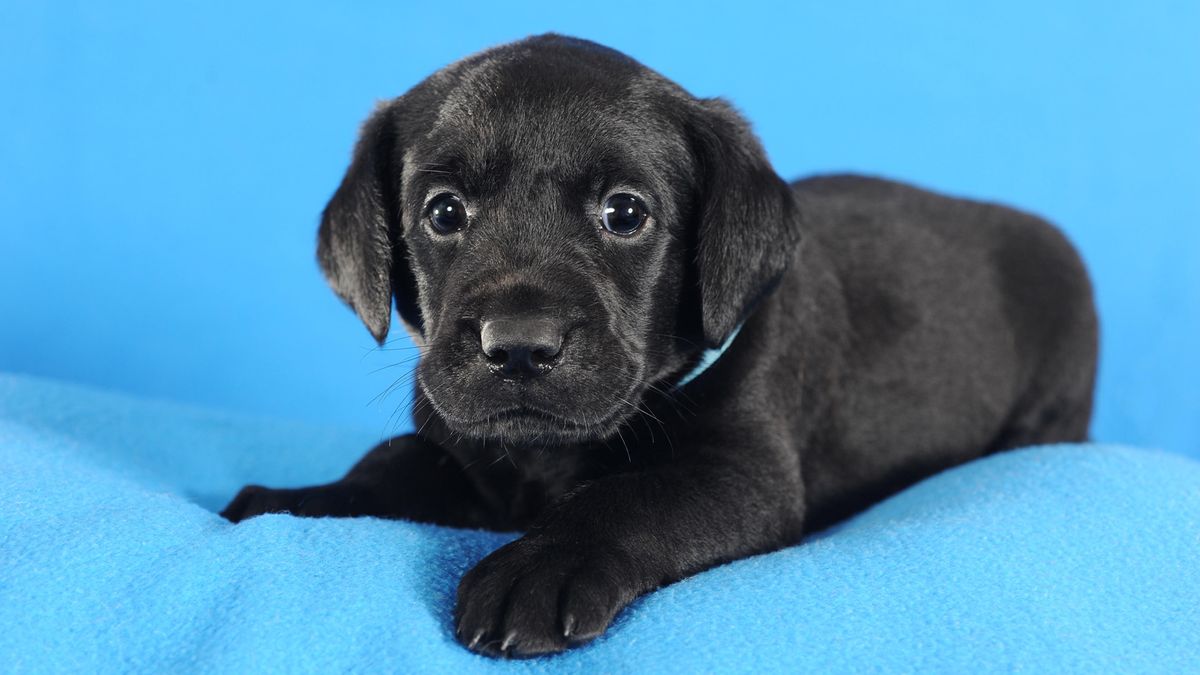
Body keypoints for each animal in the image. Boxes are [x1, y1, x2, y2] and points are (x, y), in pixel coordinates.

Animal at [220, 34, 1099, 653]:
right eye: (442, 212)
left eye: (625, 212)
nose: (519, 344)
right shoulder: (458, 448)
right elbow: (391, 460)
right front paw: (298, 498)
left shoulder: (742, 474)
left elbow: (630, 496)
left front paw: (539, 567)